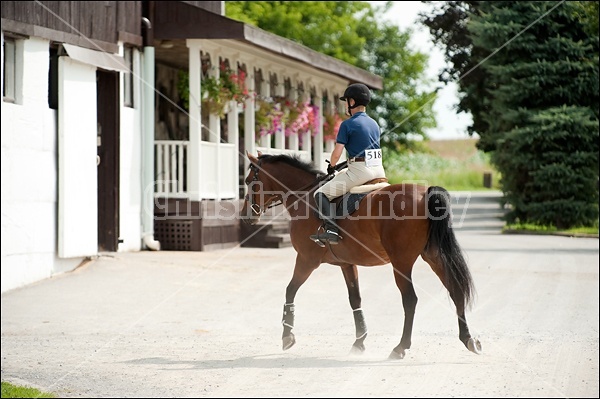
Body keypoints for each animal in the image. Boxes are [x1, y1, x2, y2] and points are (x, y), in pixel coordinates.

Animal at [241, 152, 480, 360]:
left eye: (248, 181)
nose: (245, 216)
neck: (305, 196)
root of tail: (425, 191)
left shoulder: (306, 260)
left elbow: (290, 291)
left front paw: (287, 336)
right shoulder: (346, 263)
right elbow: (355, 298)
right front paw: (359, 341)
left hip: (401, 263)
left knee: (410, 300)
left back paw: (400, 347)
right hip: (433, 256)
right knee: (455, 289)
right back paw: (469, 340)